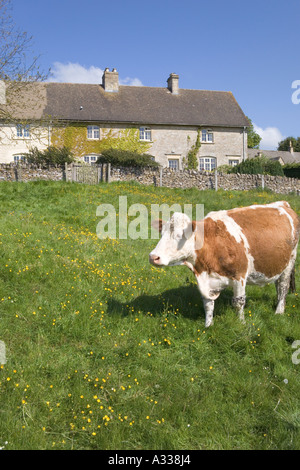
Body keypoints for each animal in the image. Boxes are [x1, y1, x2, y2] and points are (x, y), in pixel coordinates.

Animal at [149, 201, 298, 326]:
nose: (153, 257)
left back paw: (279, 311)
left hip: (290, 261)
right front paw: (208, 325)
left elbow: (238, 302)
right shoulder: (205, 279)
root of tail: (283, 204)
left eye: (179, 235)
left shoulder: (240, 275)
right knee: (278, 285)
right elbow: (208, 304)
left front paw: (241, 324)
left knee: (283, 286)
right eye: (161, 234)